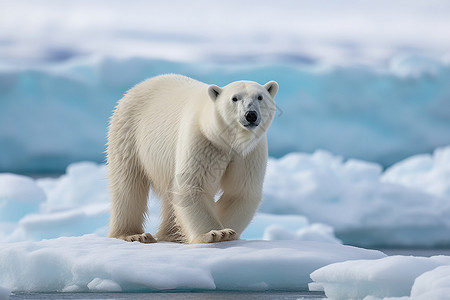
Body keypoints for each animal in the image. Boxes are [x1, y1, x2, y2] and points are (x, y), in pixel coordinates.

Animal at [108, 74, 278, 244]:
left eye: (260, 97)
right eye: (234, 98)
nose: (251, 115)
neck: (227, 141)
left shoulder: (248, 153)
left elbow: (240, 191)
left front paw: (229, 232)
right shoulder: (202, 140)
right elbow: (192, 186)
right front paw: (217, 233)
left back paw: (171, 234)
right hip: (128, 134)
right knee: (128, 185)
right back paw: (134, 234)